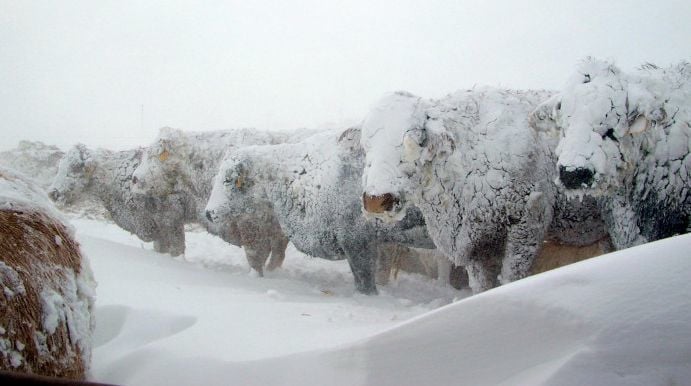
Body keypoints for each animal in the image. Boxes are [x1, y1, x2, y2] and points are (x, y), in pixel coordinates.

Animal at [360, 87, 608, 292]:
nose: (376, 200)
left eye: (417, 138)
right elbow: (482, 286)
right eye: (366, 146)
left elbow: (511, 277)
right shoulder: (476, 244)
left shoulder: (528, 222)